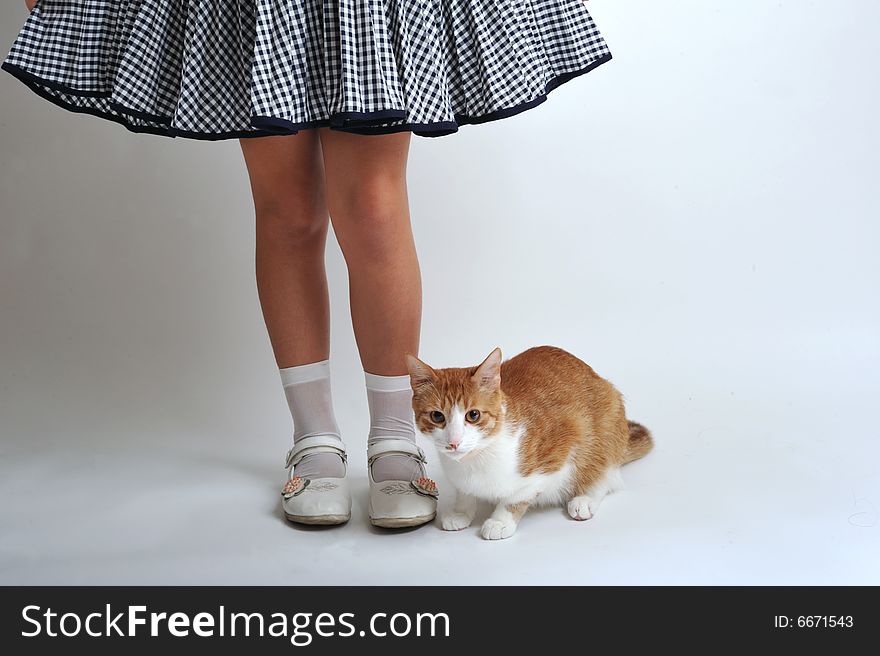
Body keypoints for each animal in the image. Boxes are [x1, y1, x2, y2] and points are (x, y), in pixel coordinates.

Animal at [402, 346, 648, 540]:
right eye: (437, 416)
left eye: (473, 415)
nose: (454, 442)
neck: (476, 459)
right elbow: (465, 491)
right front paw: (462, 511)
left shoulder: (560, 451)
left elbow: (519, 494)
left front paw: (500, 520)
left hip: (607, 423)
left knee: (606, 473)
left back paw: (585, 498)